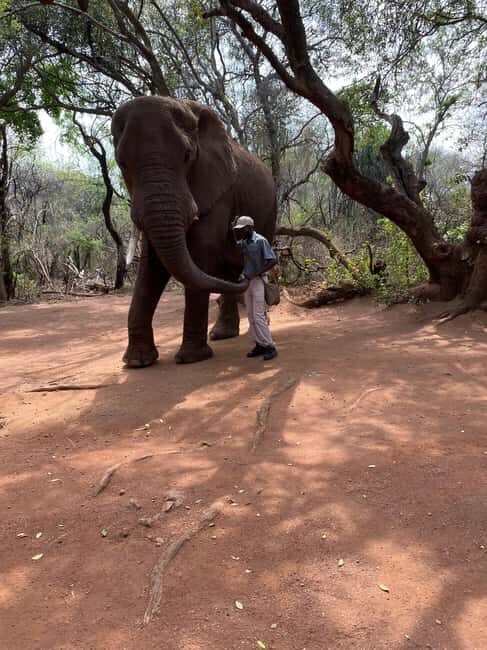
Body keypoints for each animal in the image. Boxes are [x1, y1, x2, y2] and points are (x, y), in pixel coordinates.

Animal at [111, 96, 277, 365]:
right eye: (121, 163)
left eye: (188, 156)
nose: (249, 277)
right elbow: (153, 261)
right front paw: (137, 362)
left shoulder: (218, 188)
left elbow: (200, 250)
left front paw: (191, 358)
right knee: (227, 270)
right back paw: (222, 334)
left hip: (270, 208)